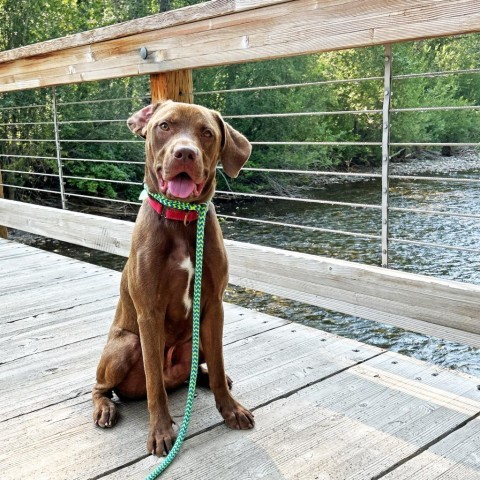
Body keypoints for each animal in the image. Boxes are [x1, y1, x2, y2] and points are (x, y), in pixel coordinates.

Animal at [91, 102, 255, 458]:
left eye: (207, 133)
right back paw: (104, 408)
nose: (185, 153)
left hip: (198, 341)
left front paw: (230, 409)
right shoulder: (149, 313)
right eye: (164, 126)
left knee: (200, 370)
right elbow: (154, 385)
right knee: (103, 387)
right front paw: (161, 431)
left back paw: (204, 378)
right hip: (126, 344)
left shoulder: (214, 306)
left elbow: (219, 366)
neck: (181, 219)